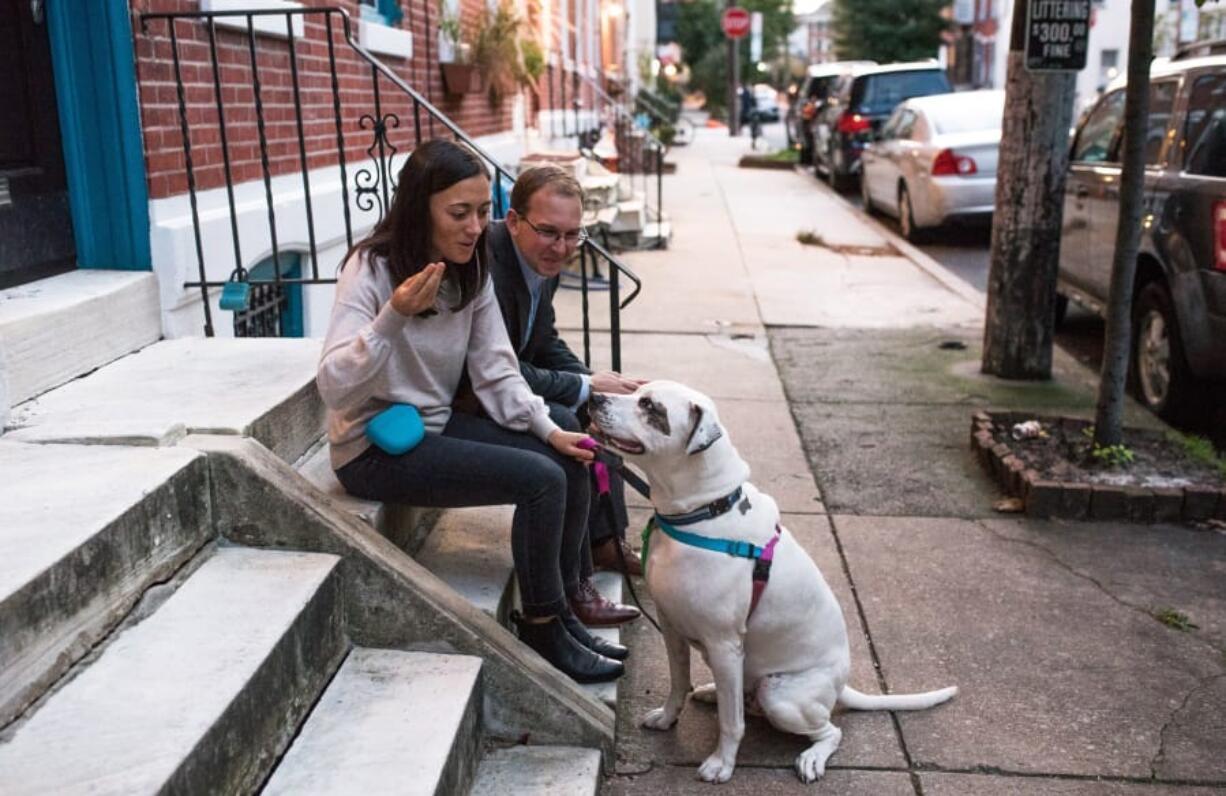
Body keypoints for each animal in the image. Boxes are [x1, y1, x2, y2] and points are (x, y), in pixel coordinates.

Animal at [586, 382, 956, 784]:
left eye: (649, 406)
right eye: (638, 390)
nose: (593, 395)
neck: (703, 511)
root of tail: (840, 686)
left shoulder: (724, 645)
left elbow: (732, 723)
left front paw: (722, 763)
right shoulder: (671, 628)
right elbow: (677, 681)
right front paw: (668, 717)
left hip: (779, 696)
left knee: (829, 731)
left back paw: (812, 756)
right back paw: (712, 691)